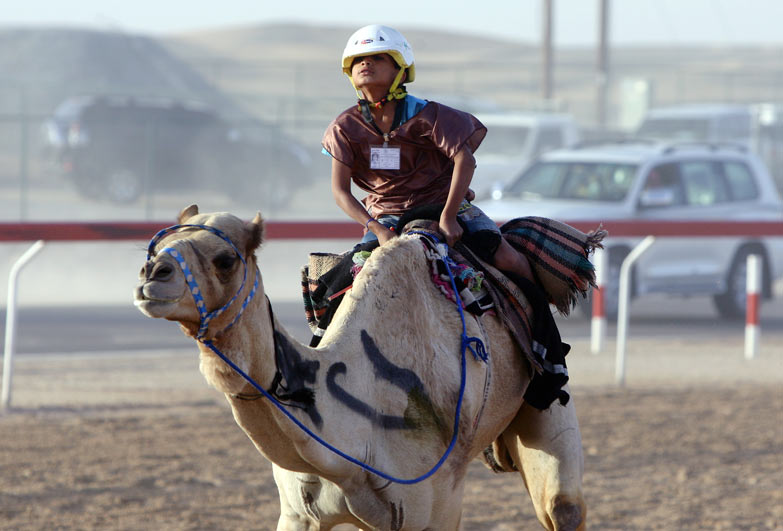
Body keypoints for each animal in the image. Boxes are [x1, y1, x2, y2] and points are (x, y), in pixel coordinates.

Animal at [135, 206, 584, 528]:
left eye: (226, 259)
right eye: (157, 247)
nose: (151, 275)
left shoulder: (435, 506)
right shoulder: (298, 512)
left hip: (544, 401)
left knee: (563, 507)